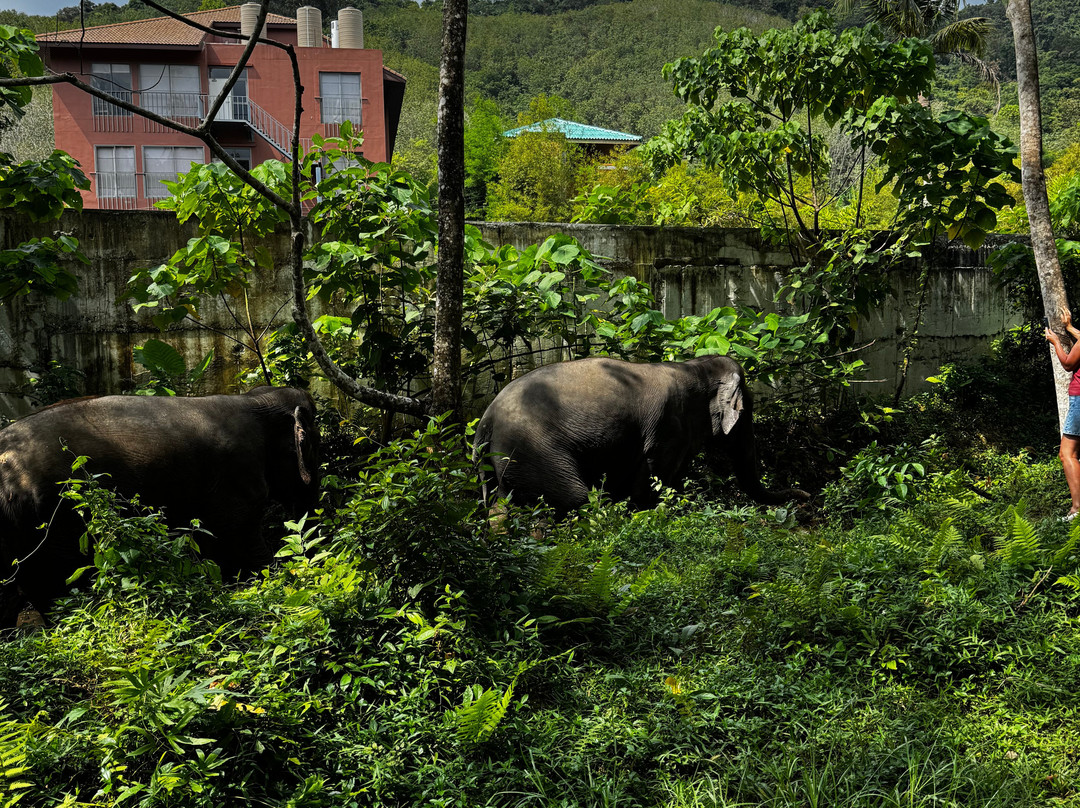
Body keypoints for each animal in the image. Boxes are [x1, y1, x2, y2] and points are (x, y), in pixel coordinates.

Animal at [0, 386, 320, 626]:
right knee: (55, 583)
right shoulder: (237, 473)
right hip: (55, 514)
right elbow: (239, 540)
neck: (254, 399)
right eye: (315, 446)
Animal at [474, 355, 808, 516]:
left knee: (501, 505)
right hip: (532, 449)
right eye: (746, 410)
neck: (694, 366)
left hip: (502, 459)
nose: (804, 496)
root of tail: (486, 418)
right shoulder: (668, 428)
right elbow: (653, 480)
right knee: (575, 500)